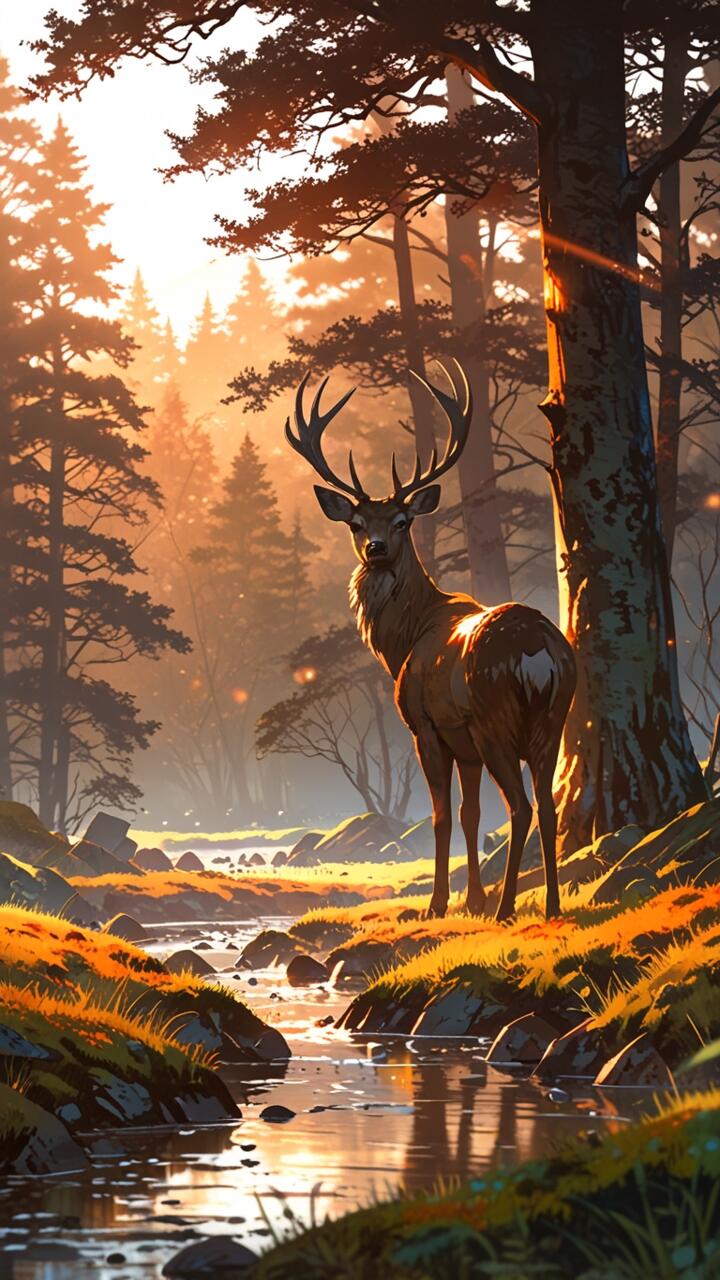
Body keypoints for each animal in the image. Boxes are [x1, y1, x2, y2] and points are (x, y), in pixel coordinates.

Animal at [286, 361, 576, 922]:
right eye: (357, 522)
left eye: (403, 520)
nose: (376, 548)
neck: (404, 641)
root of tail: (537, 654)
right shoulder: (465, 746)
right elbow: (469, 814)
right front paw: (472, 899)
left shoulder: (425, 726)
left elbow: (443, 815)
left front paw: (441, 903)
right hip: (554, 717)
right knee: (549, 804)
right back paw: (550, 904)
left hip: (495, 717)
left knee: (522, 806)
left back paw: (508, 907)